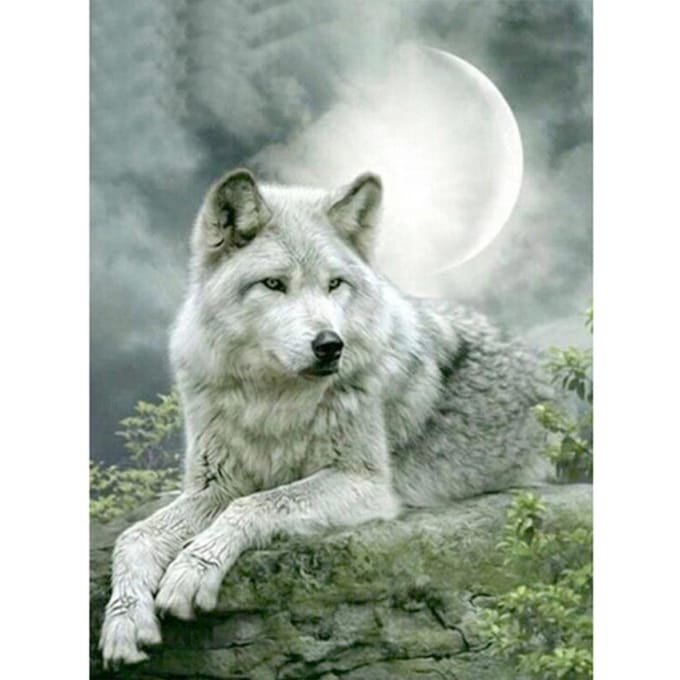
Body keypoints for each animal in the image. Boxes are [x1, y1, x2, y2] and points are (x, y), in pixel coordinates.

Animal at [99, 168, 552, 666]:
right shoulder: (214, 486)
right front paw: (124, 621)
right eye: (274, 284)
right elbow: (133, 536)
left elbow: (256, 505)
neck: (273, 401)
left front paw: (191, 571)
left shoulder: (364, 483)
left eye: (335, 284)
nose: (330, 345)